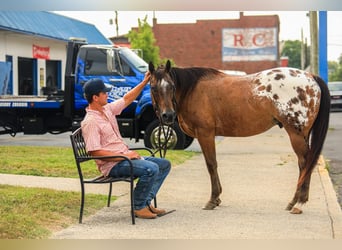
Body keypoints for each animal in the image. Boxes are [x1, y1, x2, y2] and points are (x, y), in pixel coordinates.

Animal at [148, 59, 330, 214]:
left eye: (172, 86)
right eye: (153, 88)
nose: (167, 115)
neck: (191, 90)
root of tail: (311, 77)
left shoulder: (205, 134)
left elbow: (211, 164)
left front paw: (212, 200)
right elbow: (213, 164)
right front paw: (217, 198)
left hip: (296, 134)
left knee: (305, 163)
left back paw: (298, 203)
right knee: (305, 164)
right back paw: (295, 202)